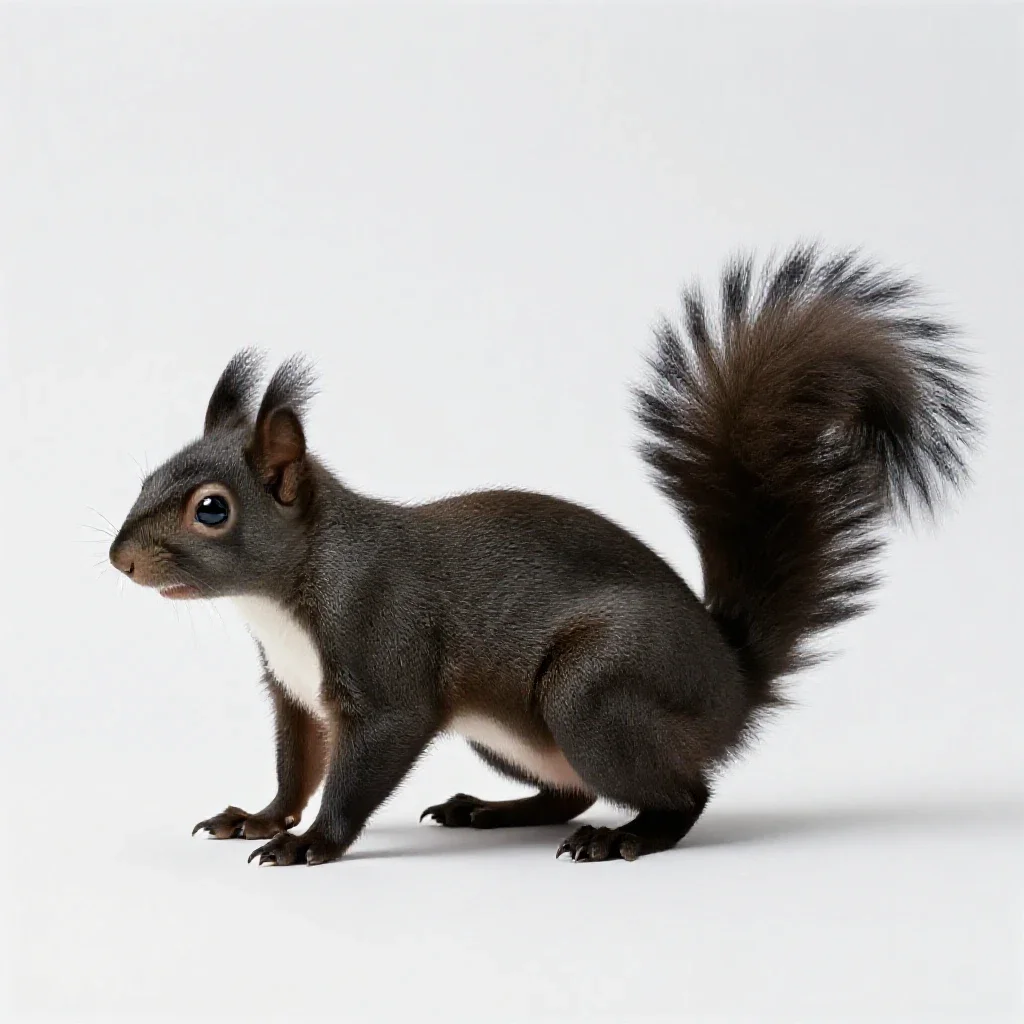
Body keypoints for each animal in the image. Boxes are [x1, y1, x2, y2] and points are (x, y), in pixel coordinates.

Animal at [109, 245, 978, 866]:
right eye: (150, 475)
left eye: (211, 510)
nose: (120, 560)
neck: (284, 592)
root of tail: (732, 686)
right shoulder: (293, 693)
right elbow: (298, 764)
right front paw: (259, 818)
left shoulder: (382, 653)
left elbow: (362, 765)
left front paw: (312, 843)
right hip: (510, 735)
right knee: (569, 791)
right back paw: (487, 811)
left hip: (594, 691)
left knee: (682, 791)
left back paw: (629, 835)